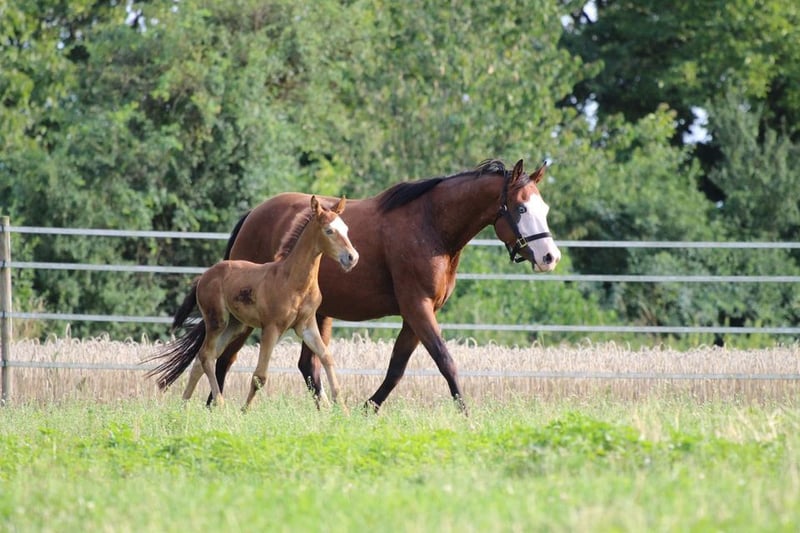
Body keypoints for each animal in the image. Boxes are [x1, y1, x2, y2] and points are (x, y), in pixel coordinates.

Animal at [145, 196, 359, 410]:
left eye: (346, 229)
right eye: (329, 230)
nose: (352, 257)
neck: (292, 280)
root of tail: (204, 276)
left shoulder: (306, 325)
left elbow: (327, 358)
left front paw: (344, 410)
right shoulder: (272, 327)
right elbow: (260, 376)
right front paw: (244, 411)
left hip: (235, 326)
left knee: (202, 359)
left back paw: (184, 405)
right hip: (217, 321)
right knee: (206, 356)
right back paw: (220, 405)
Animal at [194, 158, 559, 412]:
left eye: (544, 207)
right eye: (521, 208)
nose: (550, 257)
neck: (430, 225)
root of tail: (253, 214)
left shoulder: (415, 314)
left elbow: (397, 368)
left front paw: (367, 409)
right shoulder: (417, 307)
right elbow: (446, 361)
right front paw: (466, 415)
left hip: (317, 315)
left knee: (308, 366)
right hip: (248, 318)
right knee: (224, 359)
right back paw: (215, 408)